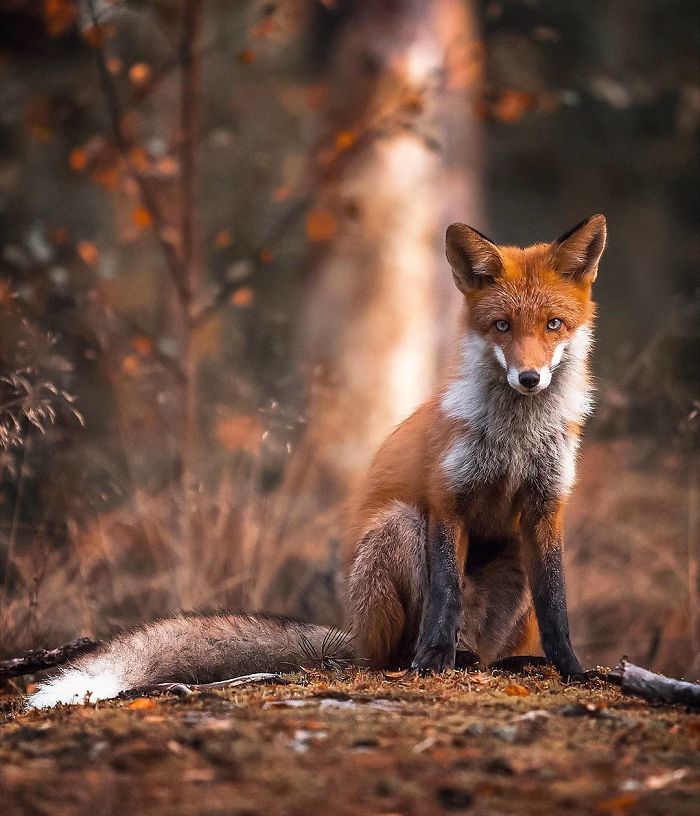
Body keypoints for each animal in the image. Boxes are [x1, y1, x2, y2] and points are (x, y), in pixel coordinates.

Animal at [27, 215, 605, 708]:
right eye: (502, 326)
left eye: (553, 324)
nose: (529, 378)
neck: (514, 440)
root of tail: (355, 634)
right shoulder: (447, 498)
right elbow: (444, 596)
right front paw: (433, 661)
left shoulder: (546, 507)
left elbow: (556, 603)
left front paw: (572, 668)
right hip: (397, 530)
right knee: (395, 650)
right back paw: (431, 659)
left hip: (511, 560)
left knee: (490, 649)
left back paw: (502, 663)